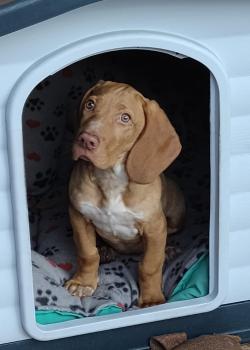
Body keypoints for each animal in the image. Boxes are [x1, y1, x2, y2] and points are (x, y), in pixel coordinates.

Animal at [65, 81, 185, 306]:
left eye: (125, 118)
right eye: (90, 104)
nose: (86, 140)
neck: (110, 178)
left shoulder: (155, 227)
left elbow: (150, 265)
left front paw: (152, 299)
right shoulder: (78, 214)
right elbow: (87, 252)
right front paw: (84, 282)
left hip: (176, 214)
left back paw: (169, 250)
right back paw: (105, 250)